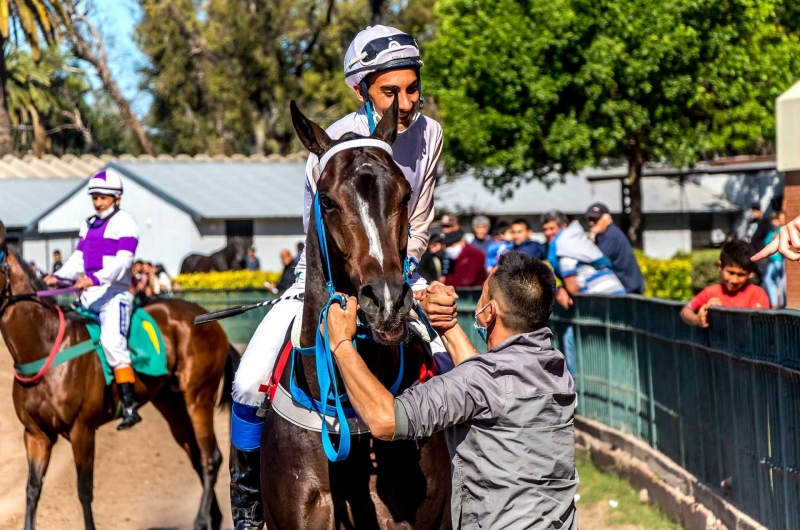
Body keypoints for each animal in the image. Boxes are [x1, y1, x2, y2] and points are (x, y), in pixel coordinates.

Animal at [0, 222, 234, 528]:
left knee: (210, 457)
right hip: (172, 405)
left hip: (198, 397)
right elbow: (32, 490)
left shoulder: (82, 430)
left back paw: (201, 519)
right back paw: (212, 518)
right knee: (196, 455)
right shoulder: (35, 435)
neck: (46, 346)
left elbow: (84, 490)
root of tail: (210, 320)